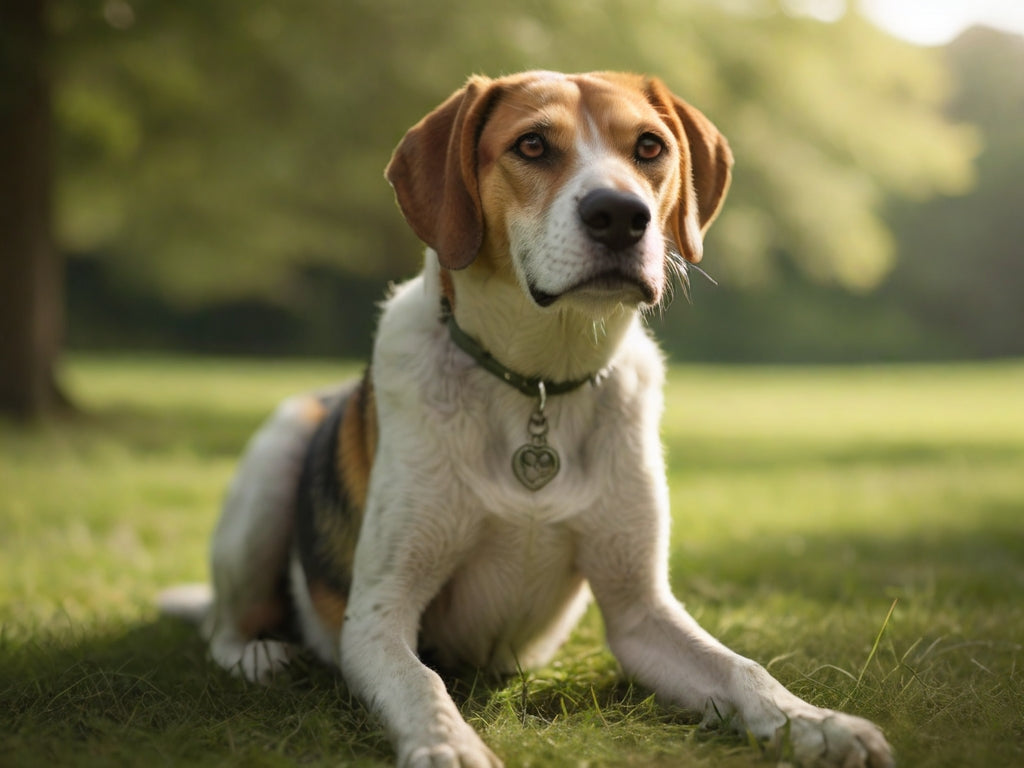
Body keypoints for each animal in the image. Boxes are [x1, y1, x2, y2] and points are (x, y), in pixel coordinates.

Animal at [157, 72, 888, 768]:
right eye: (532, 145)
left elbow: (743, 669)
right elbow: (423, 682)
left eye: (650, 147)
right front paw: (447, 745)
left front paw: (816, 724)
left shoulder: (639, 611)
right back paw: (256, 653)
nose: (620, 214)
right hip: (276, 456)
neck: (539, 382)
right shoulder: (377, 615)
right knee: (223, 627)